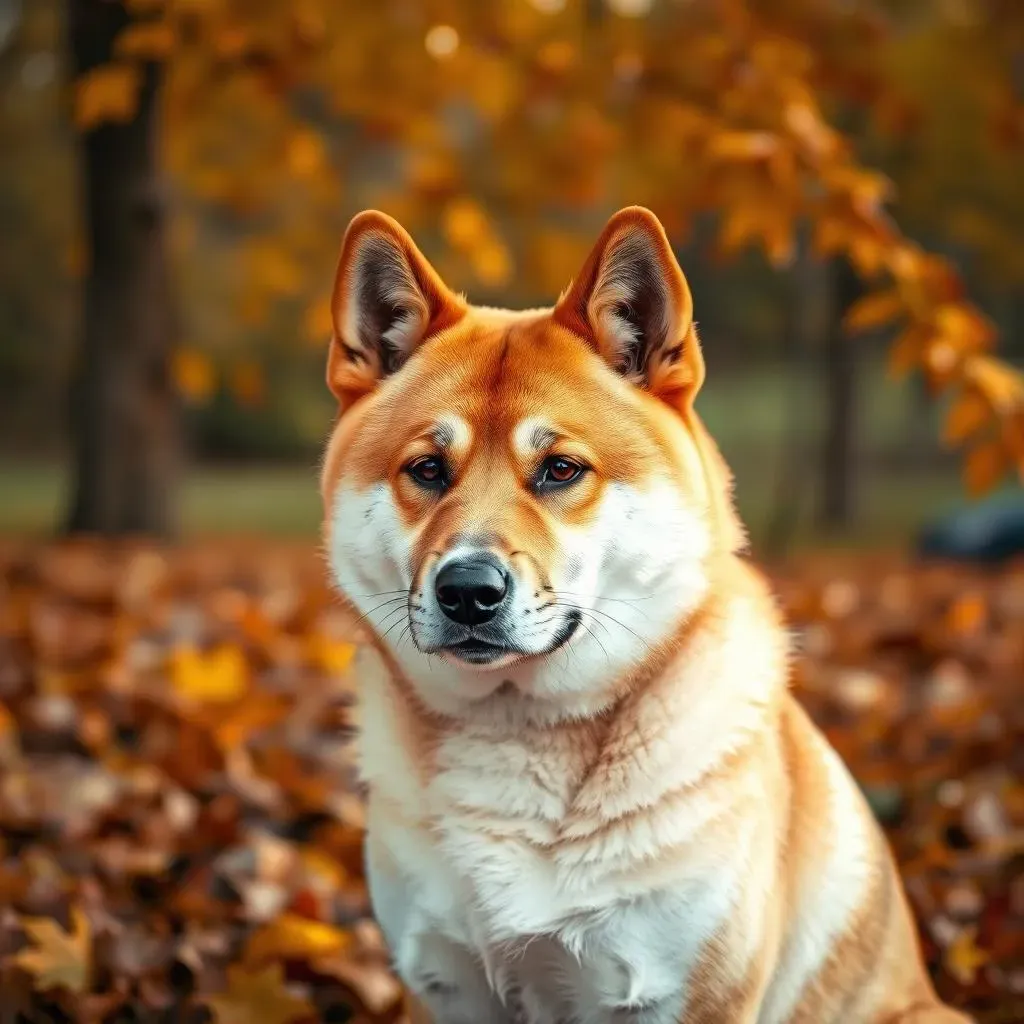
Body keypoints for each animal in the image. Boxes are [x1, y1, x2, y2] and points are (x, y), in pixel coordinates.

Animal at [317, 207, 966, 1024]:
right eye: (427, 470)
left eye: (560, 469)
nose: (467, 589)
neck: (518, 732)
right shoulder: (449, 987)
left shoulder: (684, 994)